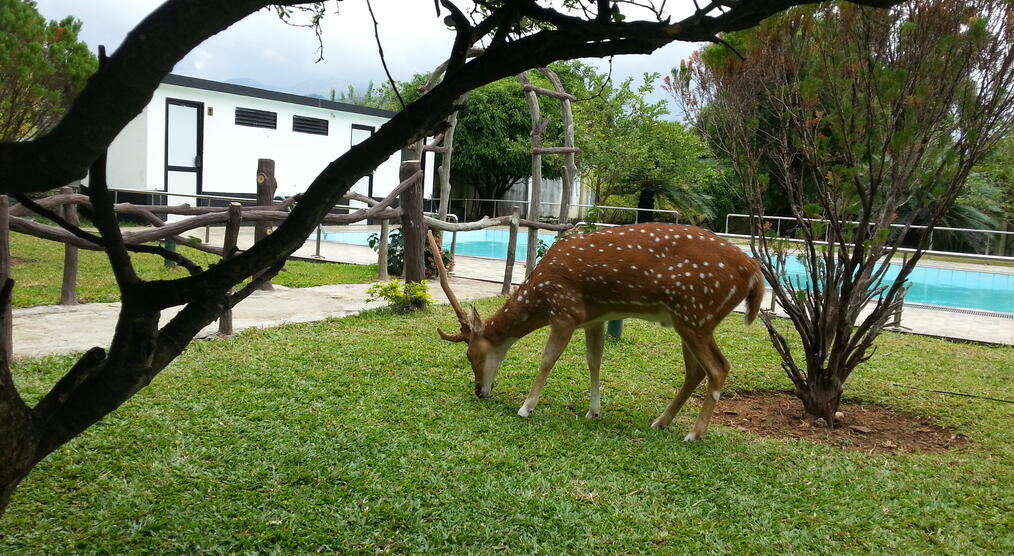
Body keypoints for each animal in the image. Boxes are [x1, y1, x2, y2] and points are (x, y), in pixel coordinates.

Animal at [423, 223, 762, 440]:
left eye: (471, 355)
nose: (479, 391)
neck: (540, 295)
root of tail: (754, 274)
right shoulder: (593, 319)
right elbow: (594, 361)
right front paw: (593, 412)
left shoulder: (565, 312)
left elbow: (547, 360)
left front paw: (526, 407)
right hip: (688, 320)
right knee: (696, 371)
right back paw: (660, 423)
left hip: (696, 314)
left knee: (718, 367)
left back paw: (693, 433)